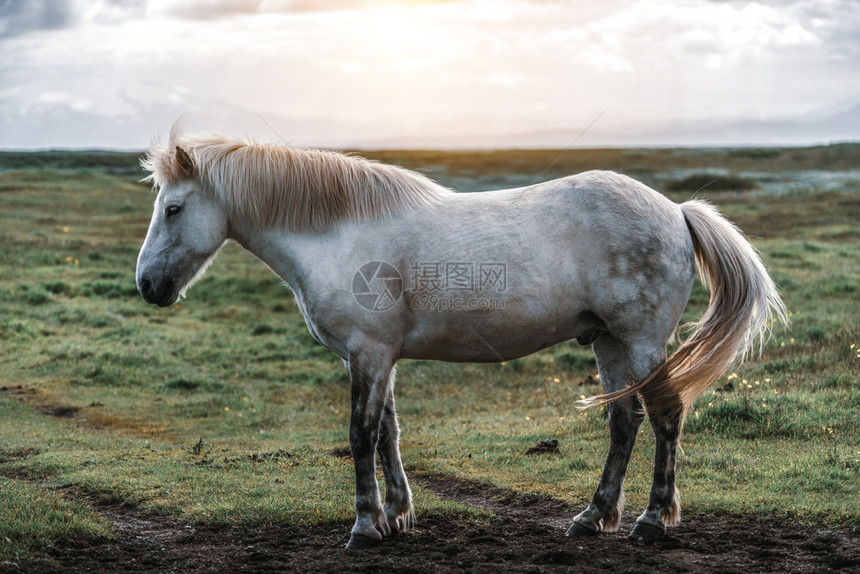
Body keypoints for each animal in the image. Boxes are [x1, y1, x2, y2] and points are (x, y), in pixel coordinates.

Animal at [134, 127, 788, 552]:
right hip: (608, 342)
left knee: (665, 415)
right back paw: (592, 516)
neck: (338, 232)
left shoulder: (368, 353)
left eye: (173, 209)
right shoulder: (377, 356)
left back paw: (652, 520)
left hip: (643, 339)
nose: (147, 286)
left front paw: (365, 526)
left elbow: (361, 433)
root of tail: (675, 211)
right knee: (624, 420)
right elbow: (389, 430)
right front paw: (398, 515)